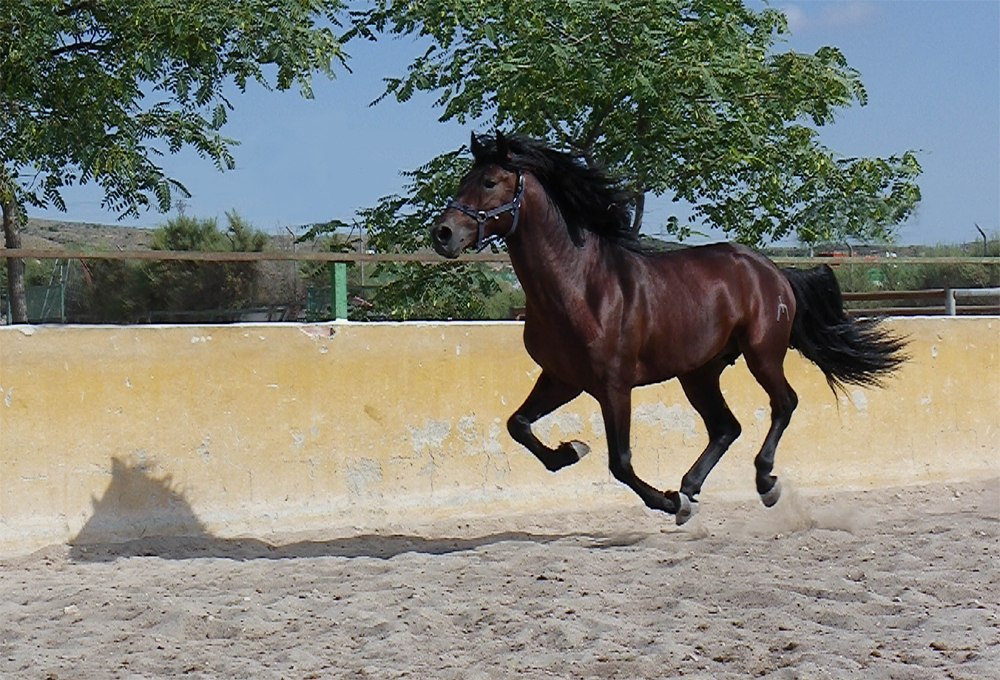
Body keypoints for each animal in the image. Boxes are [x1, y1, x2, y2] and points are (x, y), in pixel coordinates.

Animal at [430, 133, 908, 524]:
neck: (580, 286)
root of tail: (772, 270)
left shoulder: (613, 386)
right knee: (726, 427)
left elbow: (620, 462)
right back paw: (691, 488)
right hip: (698, 372)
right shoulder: (563, 378)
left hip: (762, 353)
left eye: (490, 182)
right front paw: (569, 452)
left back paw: (761, 484)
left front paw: (665, 501)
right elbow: (518, 425)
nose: (443, 234)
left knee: (783, 404)